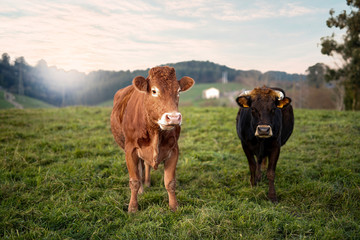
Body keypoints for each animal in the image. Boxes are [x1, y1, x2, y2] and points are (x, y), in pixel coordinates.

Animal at [110, 65, 194, 212]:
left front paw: (174, 206)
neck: (155, 131)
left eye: (178, 91)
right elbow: (134, 180)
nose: (173, 117)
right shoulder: (130, 149)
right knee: (139, 170)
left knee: (146, 165)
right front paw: (133, 208)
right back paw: (141, 191)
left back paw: (147, 183)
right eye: (154, 91)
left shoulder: (174, 149)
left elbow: (170, 182)